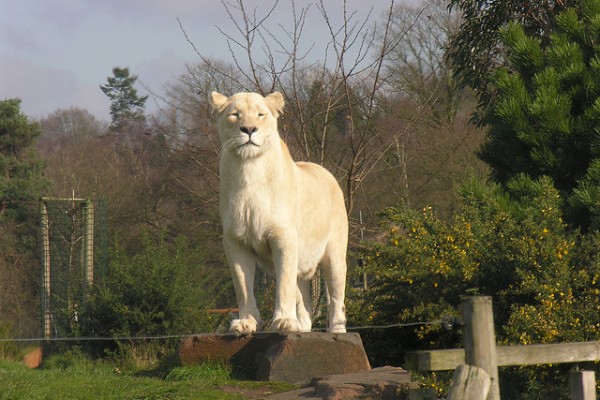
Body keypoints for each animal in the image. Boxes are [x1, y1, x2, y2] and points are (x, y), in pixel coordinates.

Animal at [210, 91, 348, 334]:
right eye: (235, 115)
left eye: (260, 114)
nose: (249, 129)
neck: (249, 169)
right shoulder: (235, 242)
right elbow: (243, 286)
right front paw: (246, 322)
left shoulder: (283, 237)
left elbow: (284, 285)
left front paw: (283, 321)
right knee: (304, 303)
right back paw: (302, 327)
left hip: (335, 257)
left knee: (336, 302)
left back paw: (337, 333)